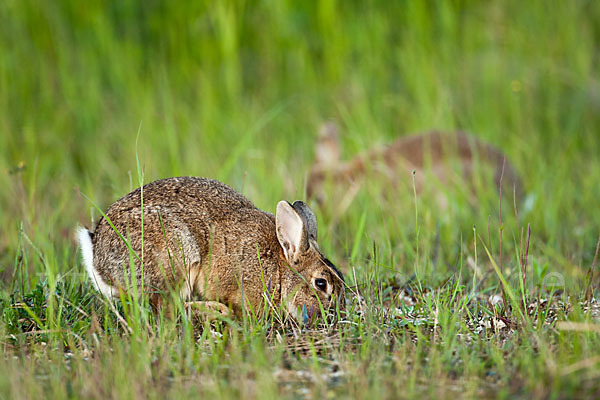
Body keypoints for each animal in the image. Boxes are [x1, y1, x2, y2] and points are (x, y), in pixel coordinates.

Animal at [77, 177, 344, 320]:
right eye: (321, 284)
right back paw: (216, 311)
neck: (280, 271)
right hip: (177, 254)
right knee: (166, 308)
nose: (334, 314)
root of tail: (99, 261)